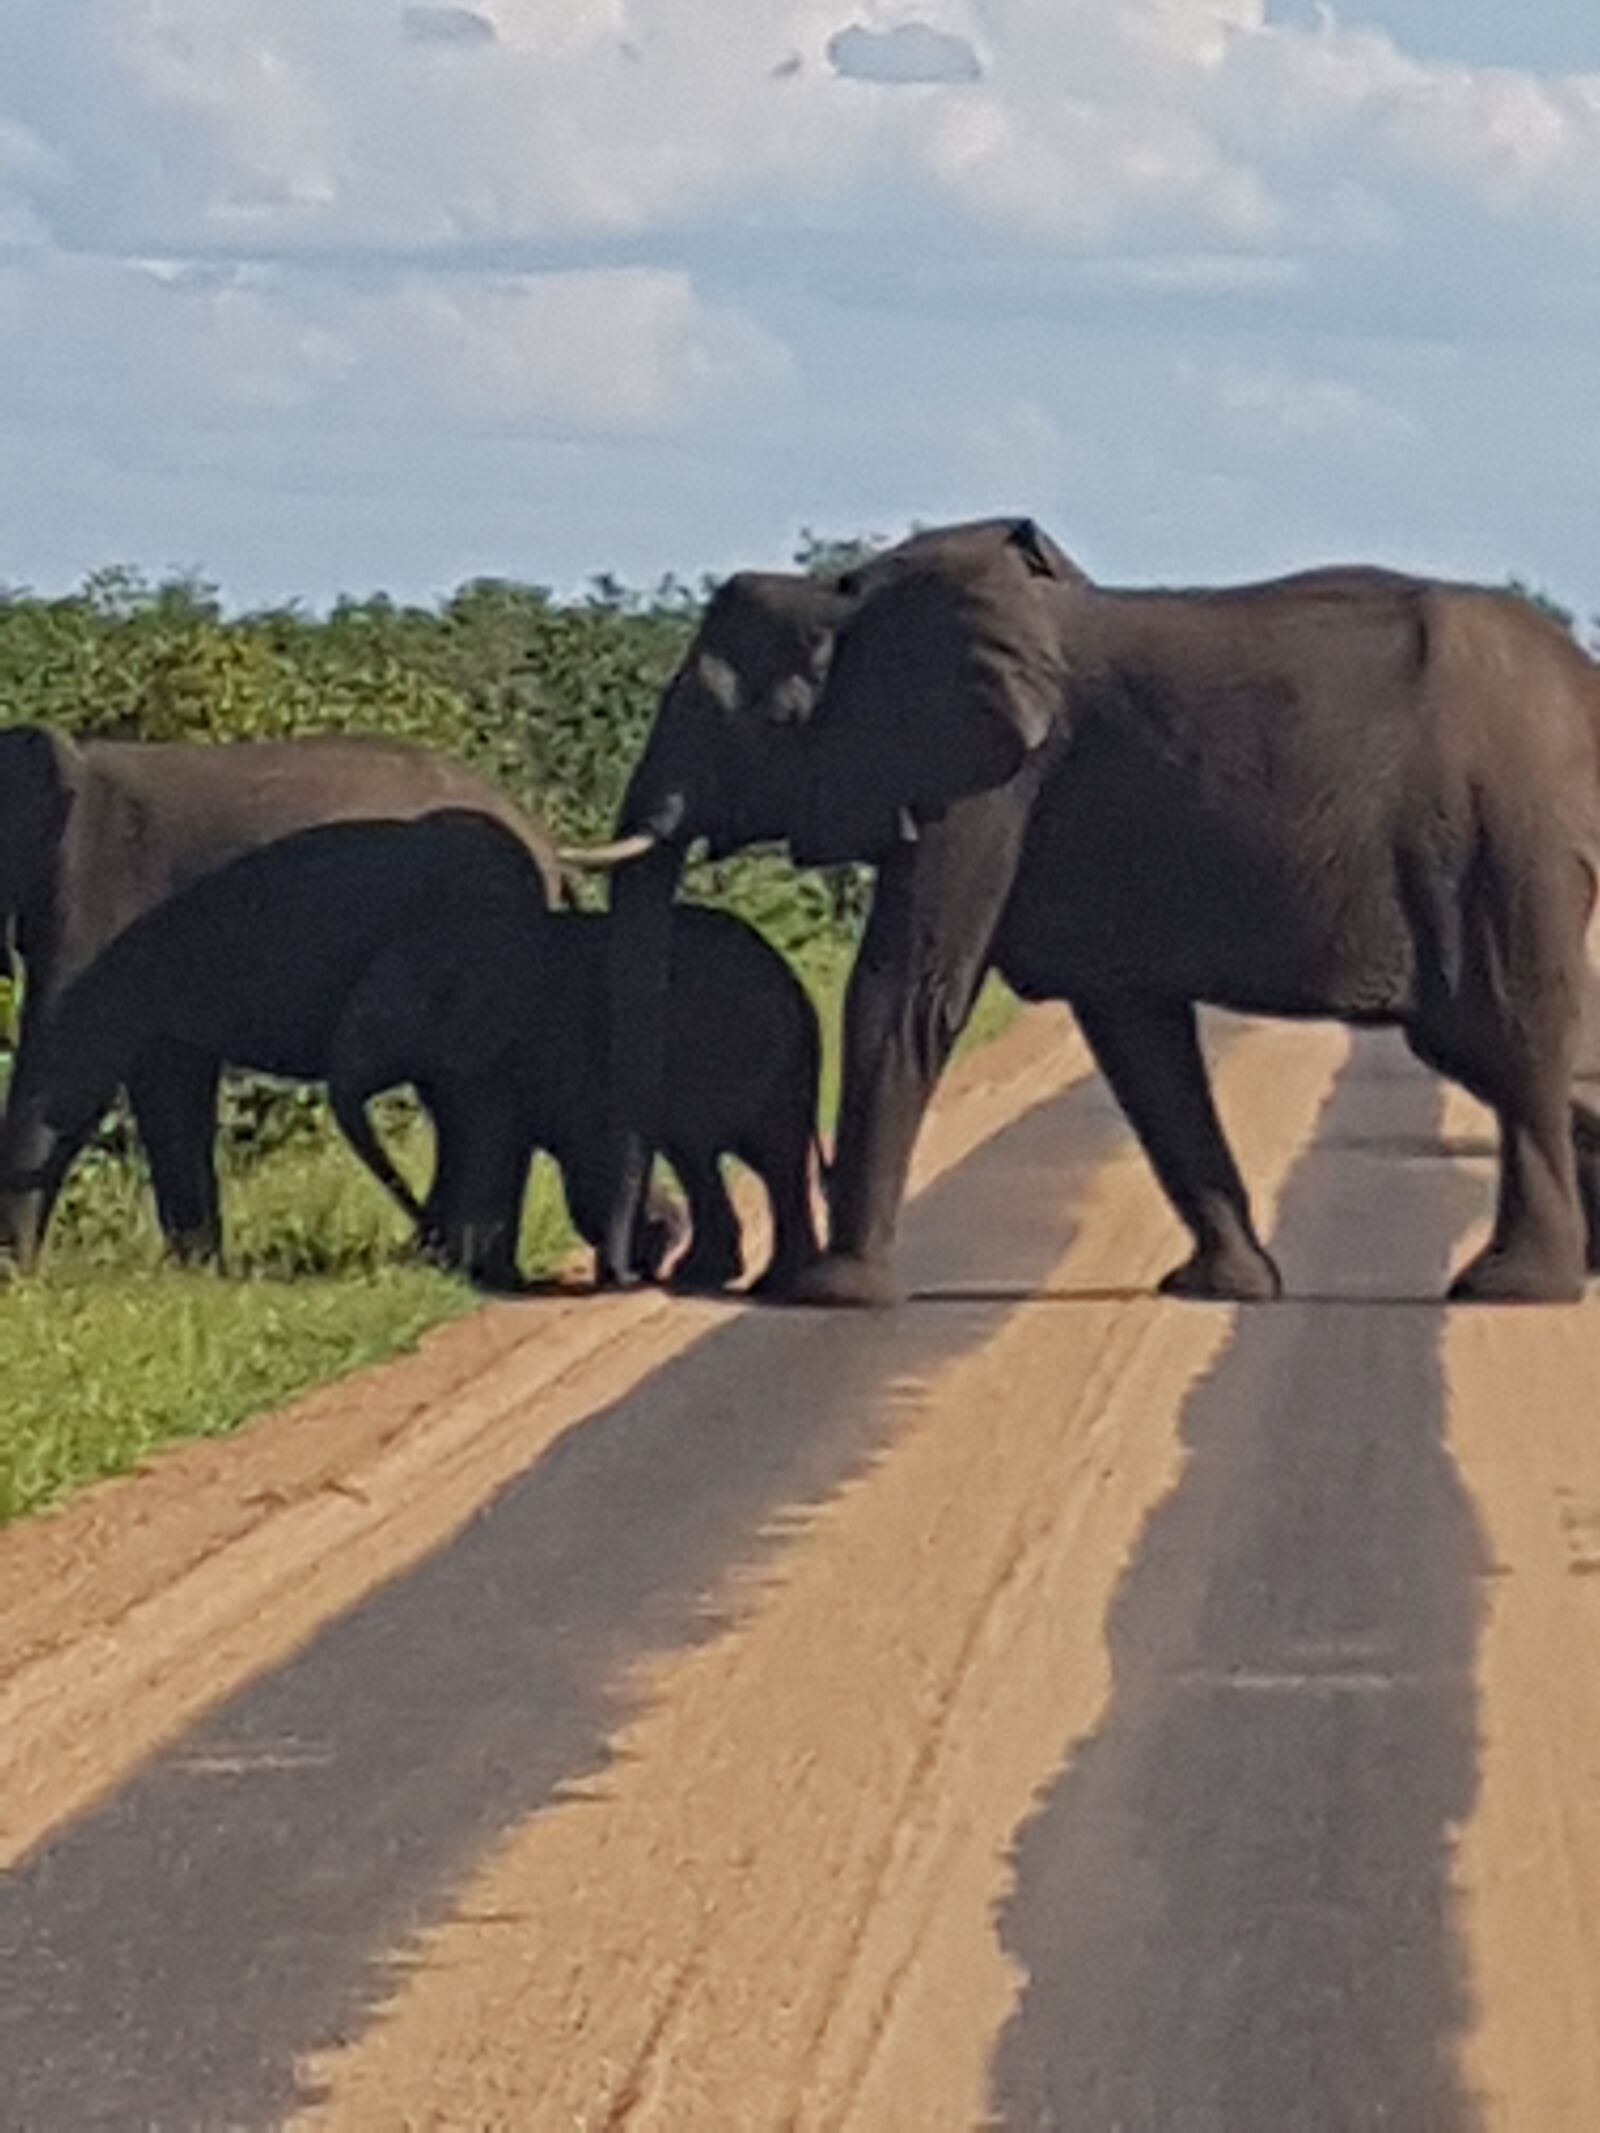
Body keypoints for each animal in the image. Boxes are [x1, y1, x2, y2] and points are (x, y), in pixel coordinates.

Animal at [328, 902, 823, 1292]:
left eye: (375, 1021)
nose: (418, 1236)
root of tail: (798, 989)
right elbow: (471, 1148)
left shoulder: (502, 1048)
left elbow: (491, 1149)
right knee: (739, 1158)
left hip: (739, 1054)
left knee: (736, 1155)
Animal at [567, 516, 1600, 1307]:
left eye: (741, 717)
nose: (639, 1260)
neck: (846, 597)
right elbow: (1137, 1038)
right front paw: (1221, 1288)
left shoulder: (986, 790)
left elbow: (906, 993)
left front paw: (830, 1295)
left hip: (1506, 845)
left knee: (1511, 1047)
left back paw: (1512, 1288)